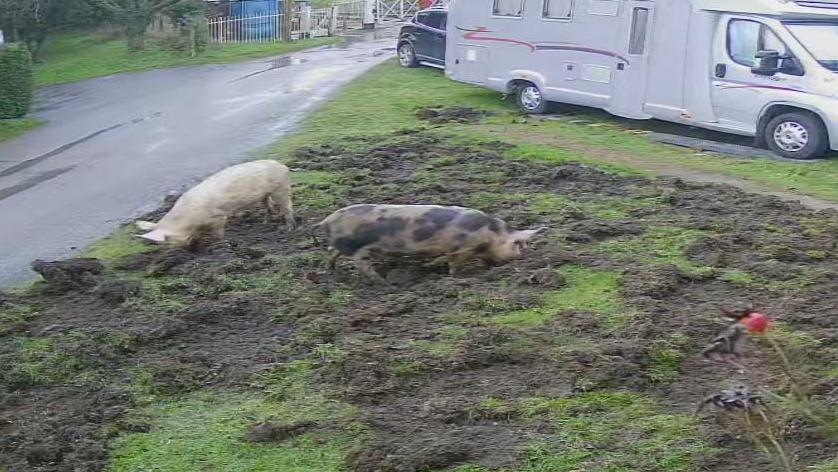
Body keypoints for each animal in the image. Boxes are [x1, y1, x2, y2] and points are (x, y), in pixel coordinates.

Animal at [316, 204, 544, 284]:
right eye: (518, 245)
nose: (525, 258)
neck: (491, 235)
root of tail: (326, 220)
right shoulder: (459, 249)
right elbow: (454, 264)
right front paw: (454, 277)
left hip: (342, 246)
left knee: (331, 251)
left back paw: (331, 271)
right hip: (358, 249)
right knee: (362, 266)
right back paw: (383, 282)